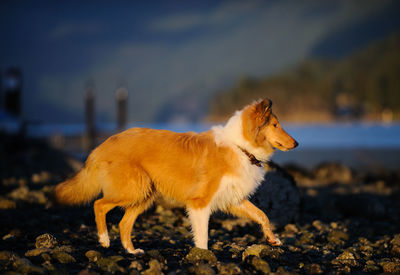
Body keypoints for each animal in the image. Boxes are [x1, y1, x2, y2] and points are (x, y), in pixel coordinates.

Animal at [55, 98, 296, 256]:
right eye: (275, 125)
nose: (296, 143)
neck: (240, 146)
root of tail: (102, 145)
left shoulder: (232, 199)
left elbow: (262, 215)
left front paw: (273, 239)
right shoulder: (200, 202)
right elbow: (203, 234)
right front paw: (203, 256)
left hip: (144, 194)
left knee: (124, 223)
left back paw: (132, 251)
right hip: (133, 189)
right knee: (99, 204)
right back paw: (104, 240)